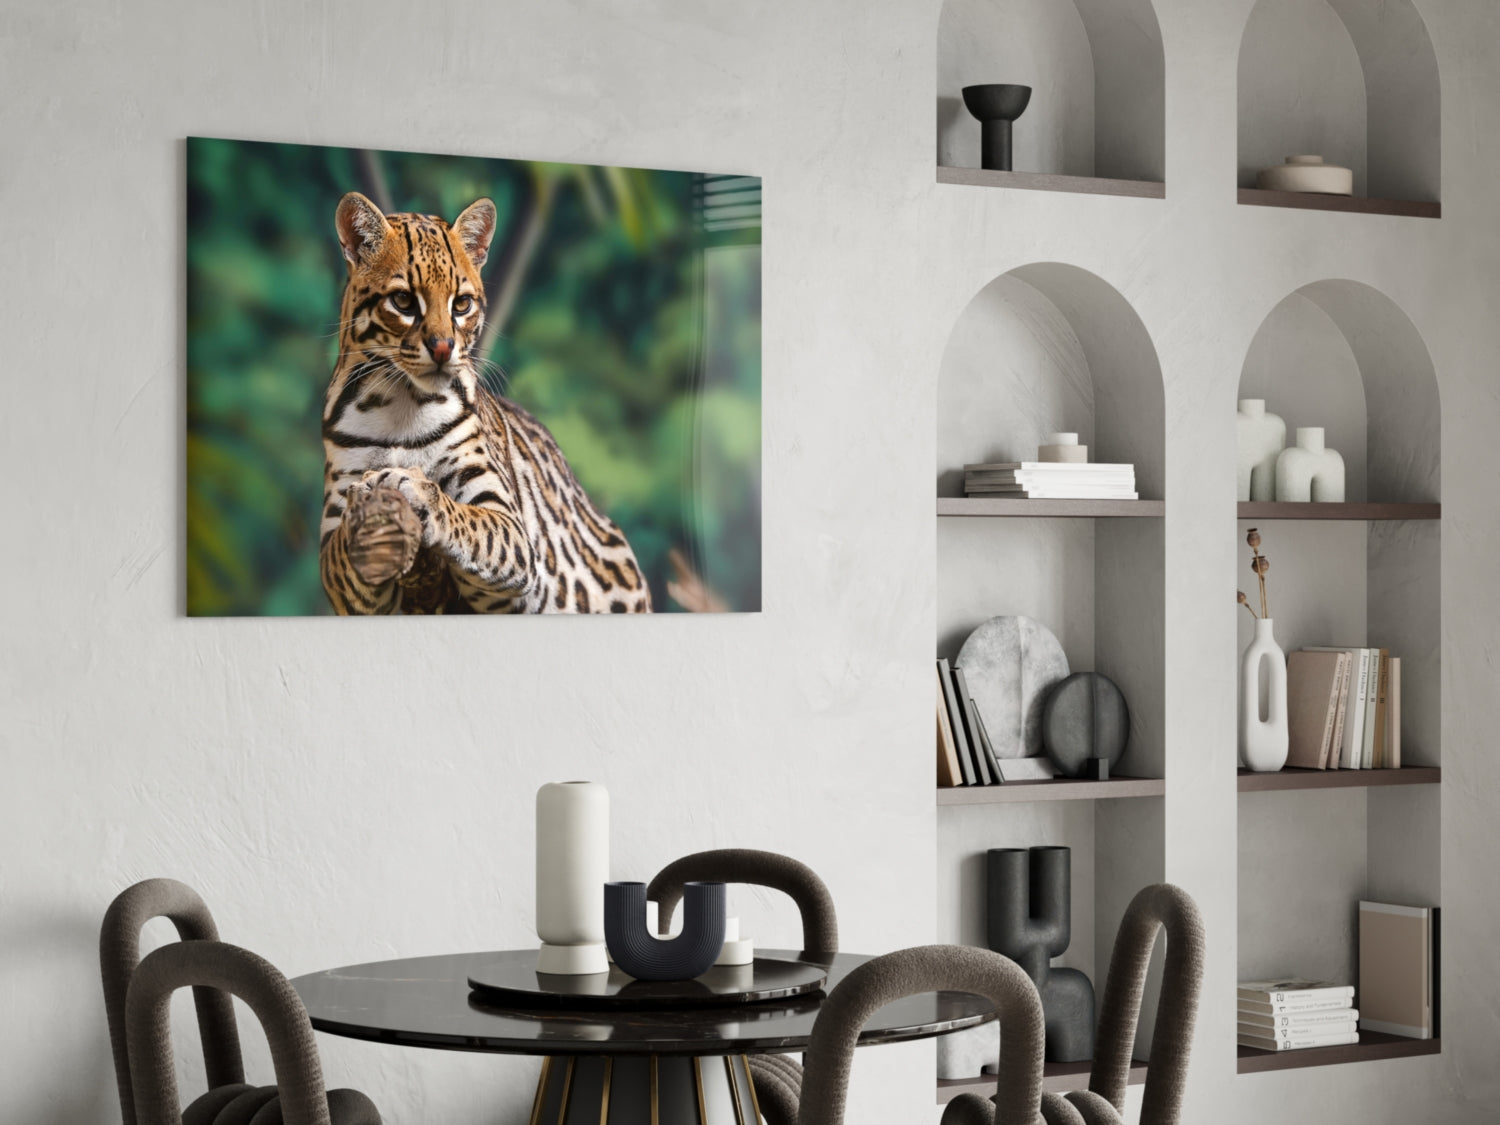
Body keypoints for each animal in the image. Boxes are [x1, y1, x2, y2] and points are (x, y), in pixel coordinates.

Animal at [318, 191, 651, 614]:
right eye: (403, 301)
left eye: (461, 304)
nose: (443, 348)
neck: (401, 404)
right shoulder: (338, 551)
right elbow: (342, 554)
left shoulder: (512, 528)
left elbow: (467, 519)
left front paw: (414, 487)